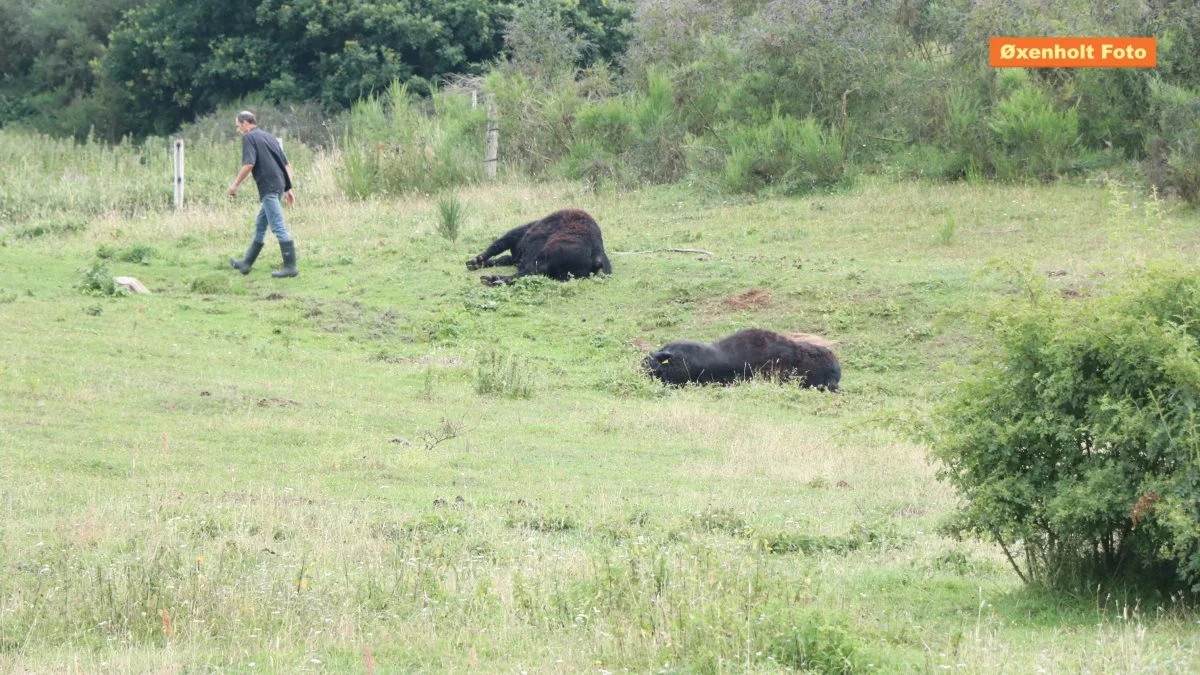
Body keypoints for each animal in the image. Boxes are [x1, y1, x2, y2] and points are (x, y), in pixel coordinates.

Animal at [465, 208, 614, 284]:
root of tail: (598, 254)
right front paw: (476, 263)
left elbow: (498, 246)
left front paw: (476, 261)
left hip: (544, 257)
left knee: (528, 272)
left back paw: (493, 279)